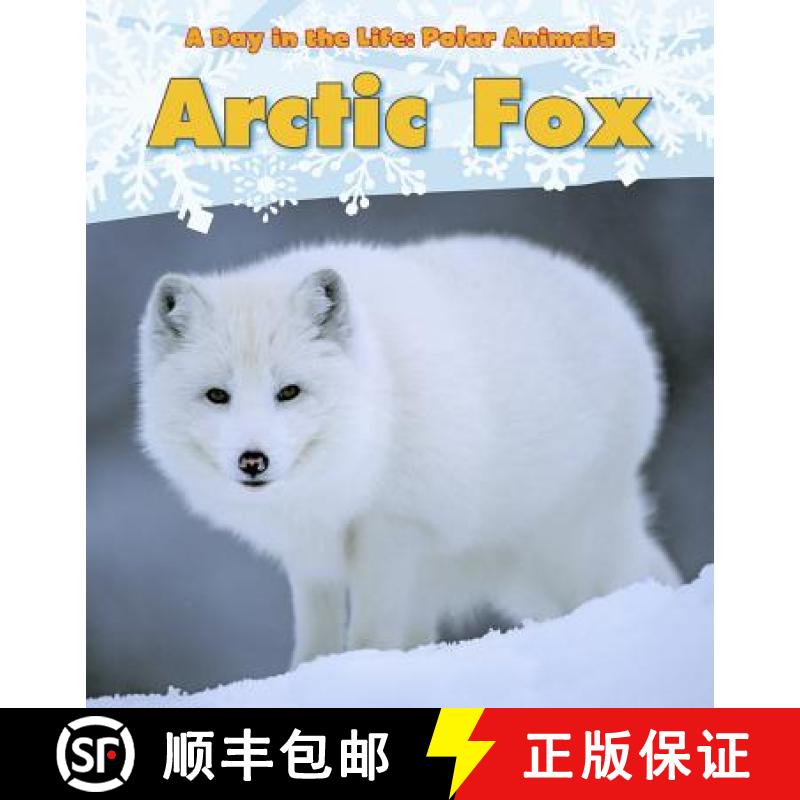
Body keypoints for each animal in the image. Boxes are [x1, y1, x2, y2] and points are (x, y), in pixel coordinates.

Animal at [138, 234, 680, 668]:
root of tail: (611, 301)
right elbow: (315, 639)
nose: (253, 460)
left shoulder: (393, 526)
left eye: (288, 392)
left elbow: (370, 633)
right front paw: (309, 676)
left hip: (567, 547)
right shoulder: (311, 555)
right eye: (217, 395)